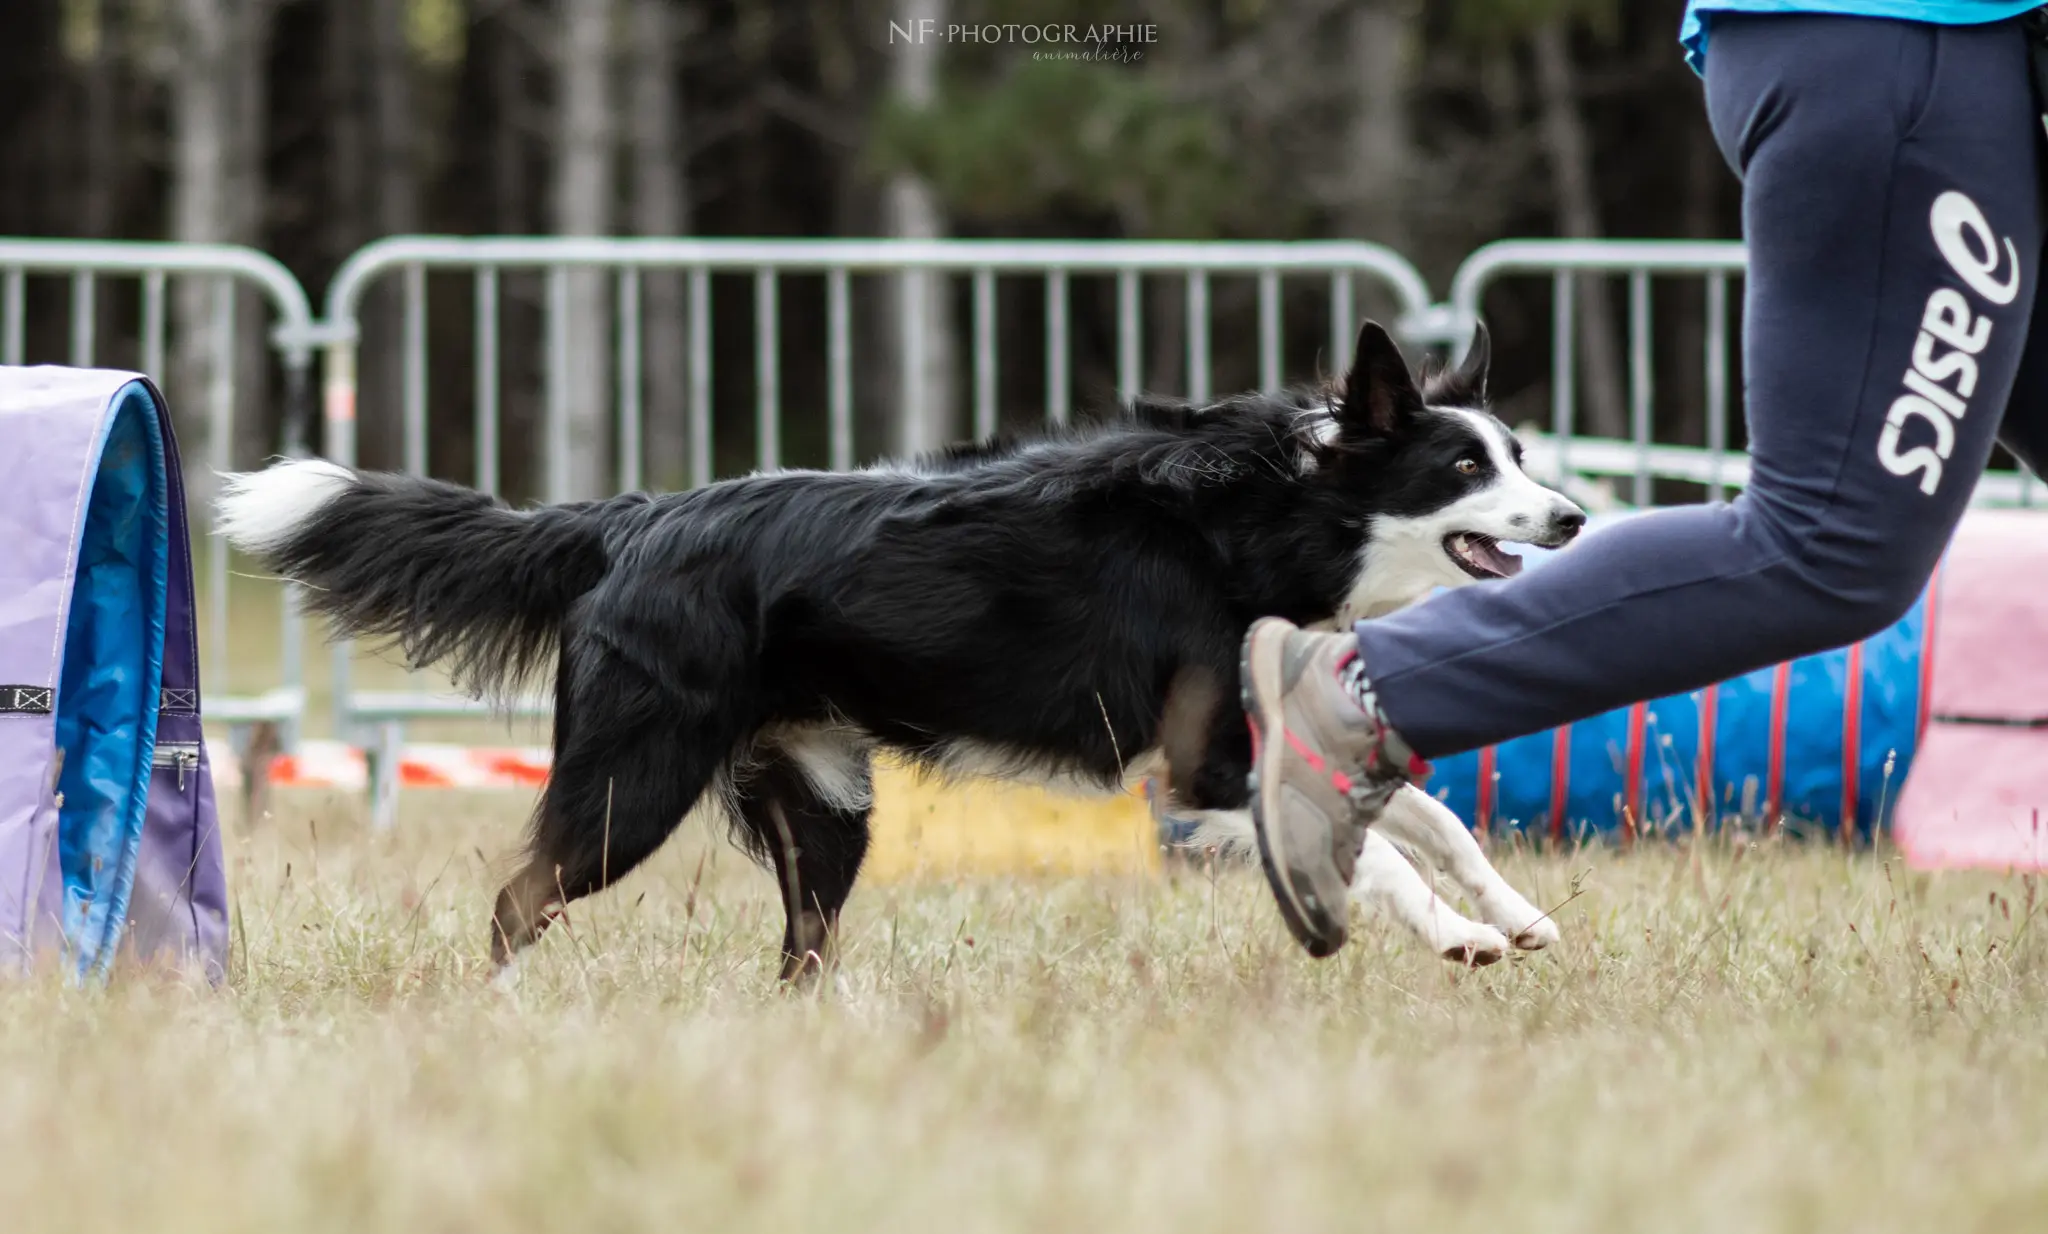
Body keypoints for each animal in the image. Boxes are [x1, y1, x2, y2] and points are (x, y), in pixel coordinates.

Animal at [216, 323, 1581, 978]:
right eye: (1465, 468)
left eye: (1518, 455)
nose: (1573, 517)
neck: (1282, 513)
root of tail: (636, 518)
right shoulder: (1203, 767)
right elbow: (1382, 857)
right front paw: (1457, 939)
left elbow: (1434, 822)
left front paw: (1518, 915)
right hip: (632, 782)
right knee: (519, 899)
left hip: (825, 800)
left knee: (797, 948)